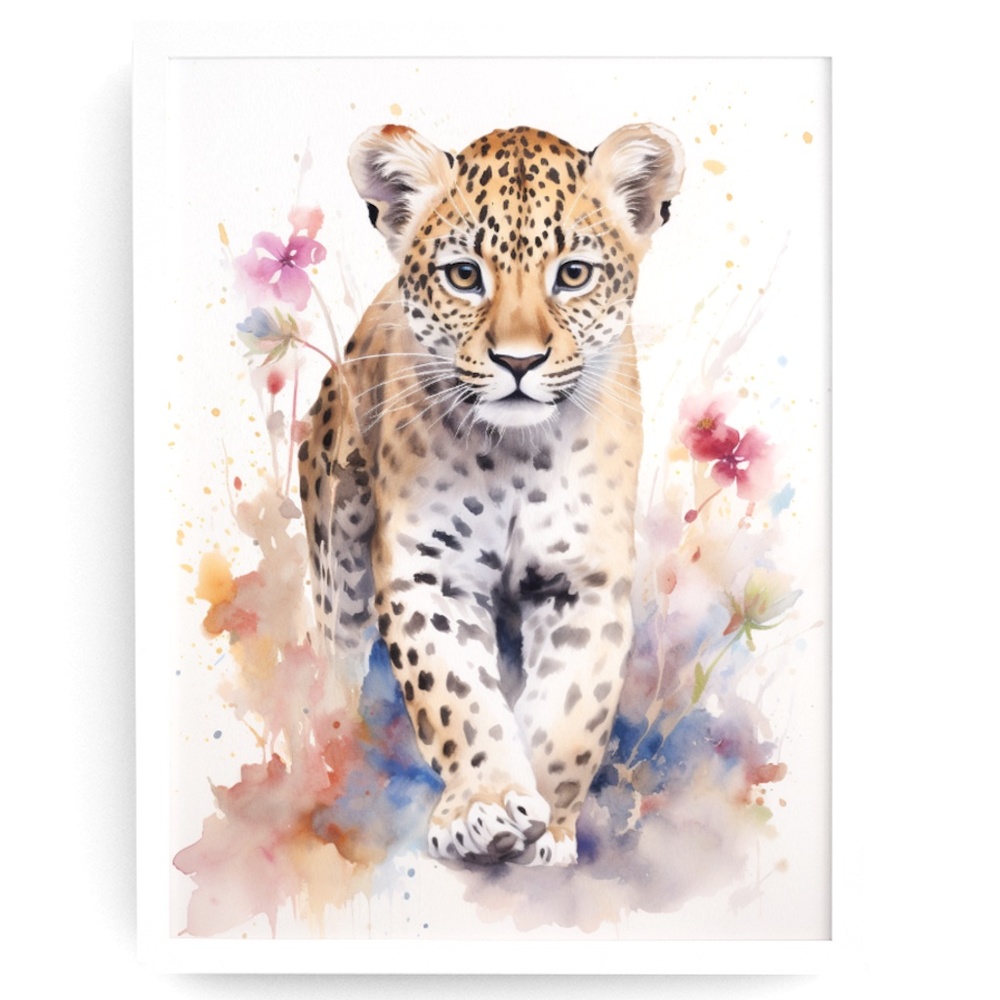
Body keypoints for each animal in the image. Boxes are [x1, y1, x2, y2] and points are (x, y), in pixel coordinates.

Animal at [298, 122, 684, 866]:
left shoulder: (584, 581)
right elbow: (458, 696)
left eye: (573, 274)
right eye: (464, 276)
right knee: (336, 647)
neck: (516, 456)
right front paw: (487, 806)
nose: (518, 361)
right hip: (339, 549)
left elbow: (569, 708)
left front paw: (547, 826)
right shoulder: (428, 574)